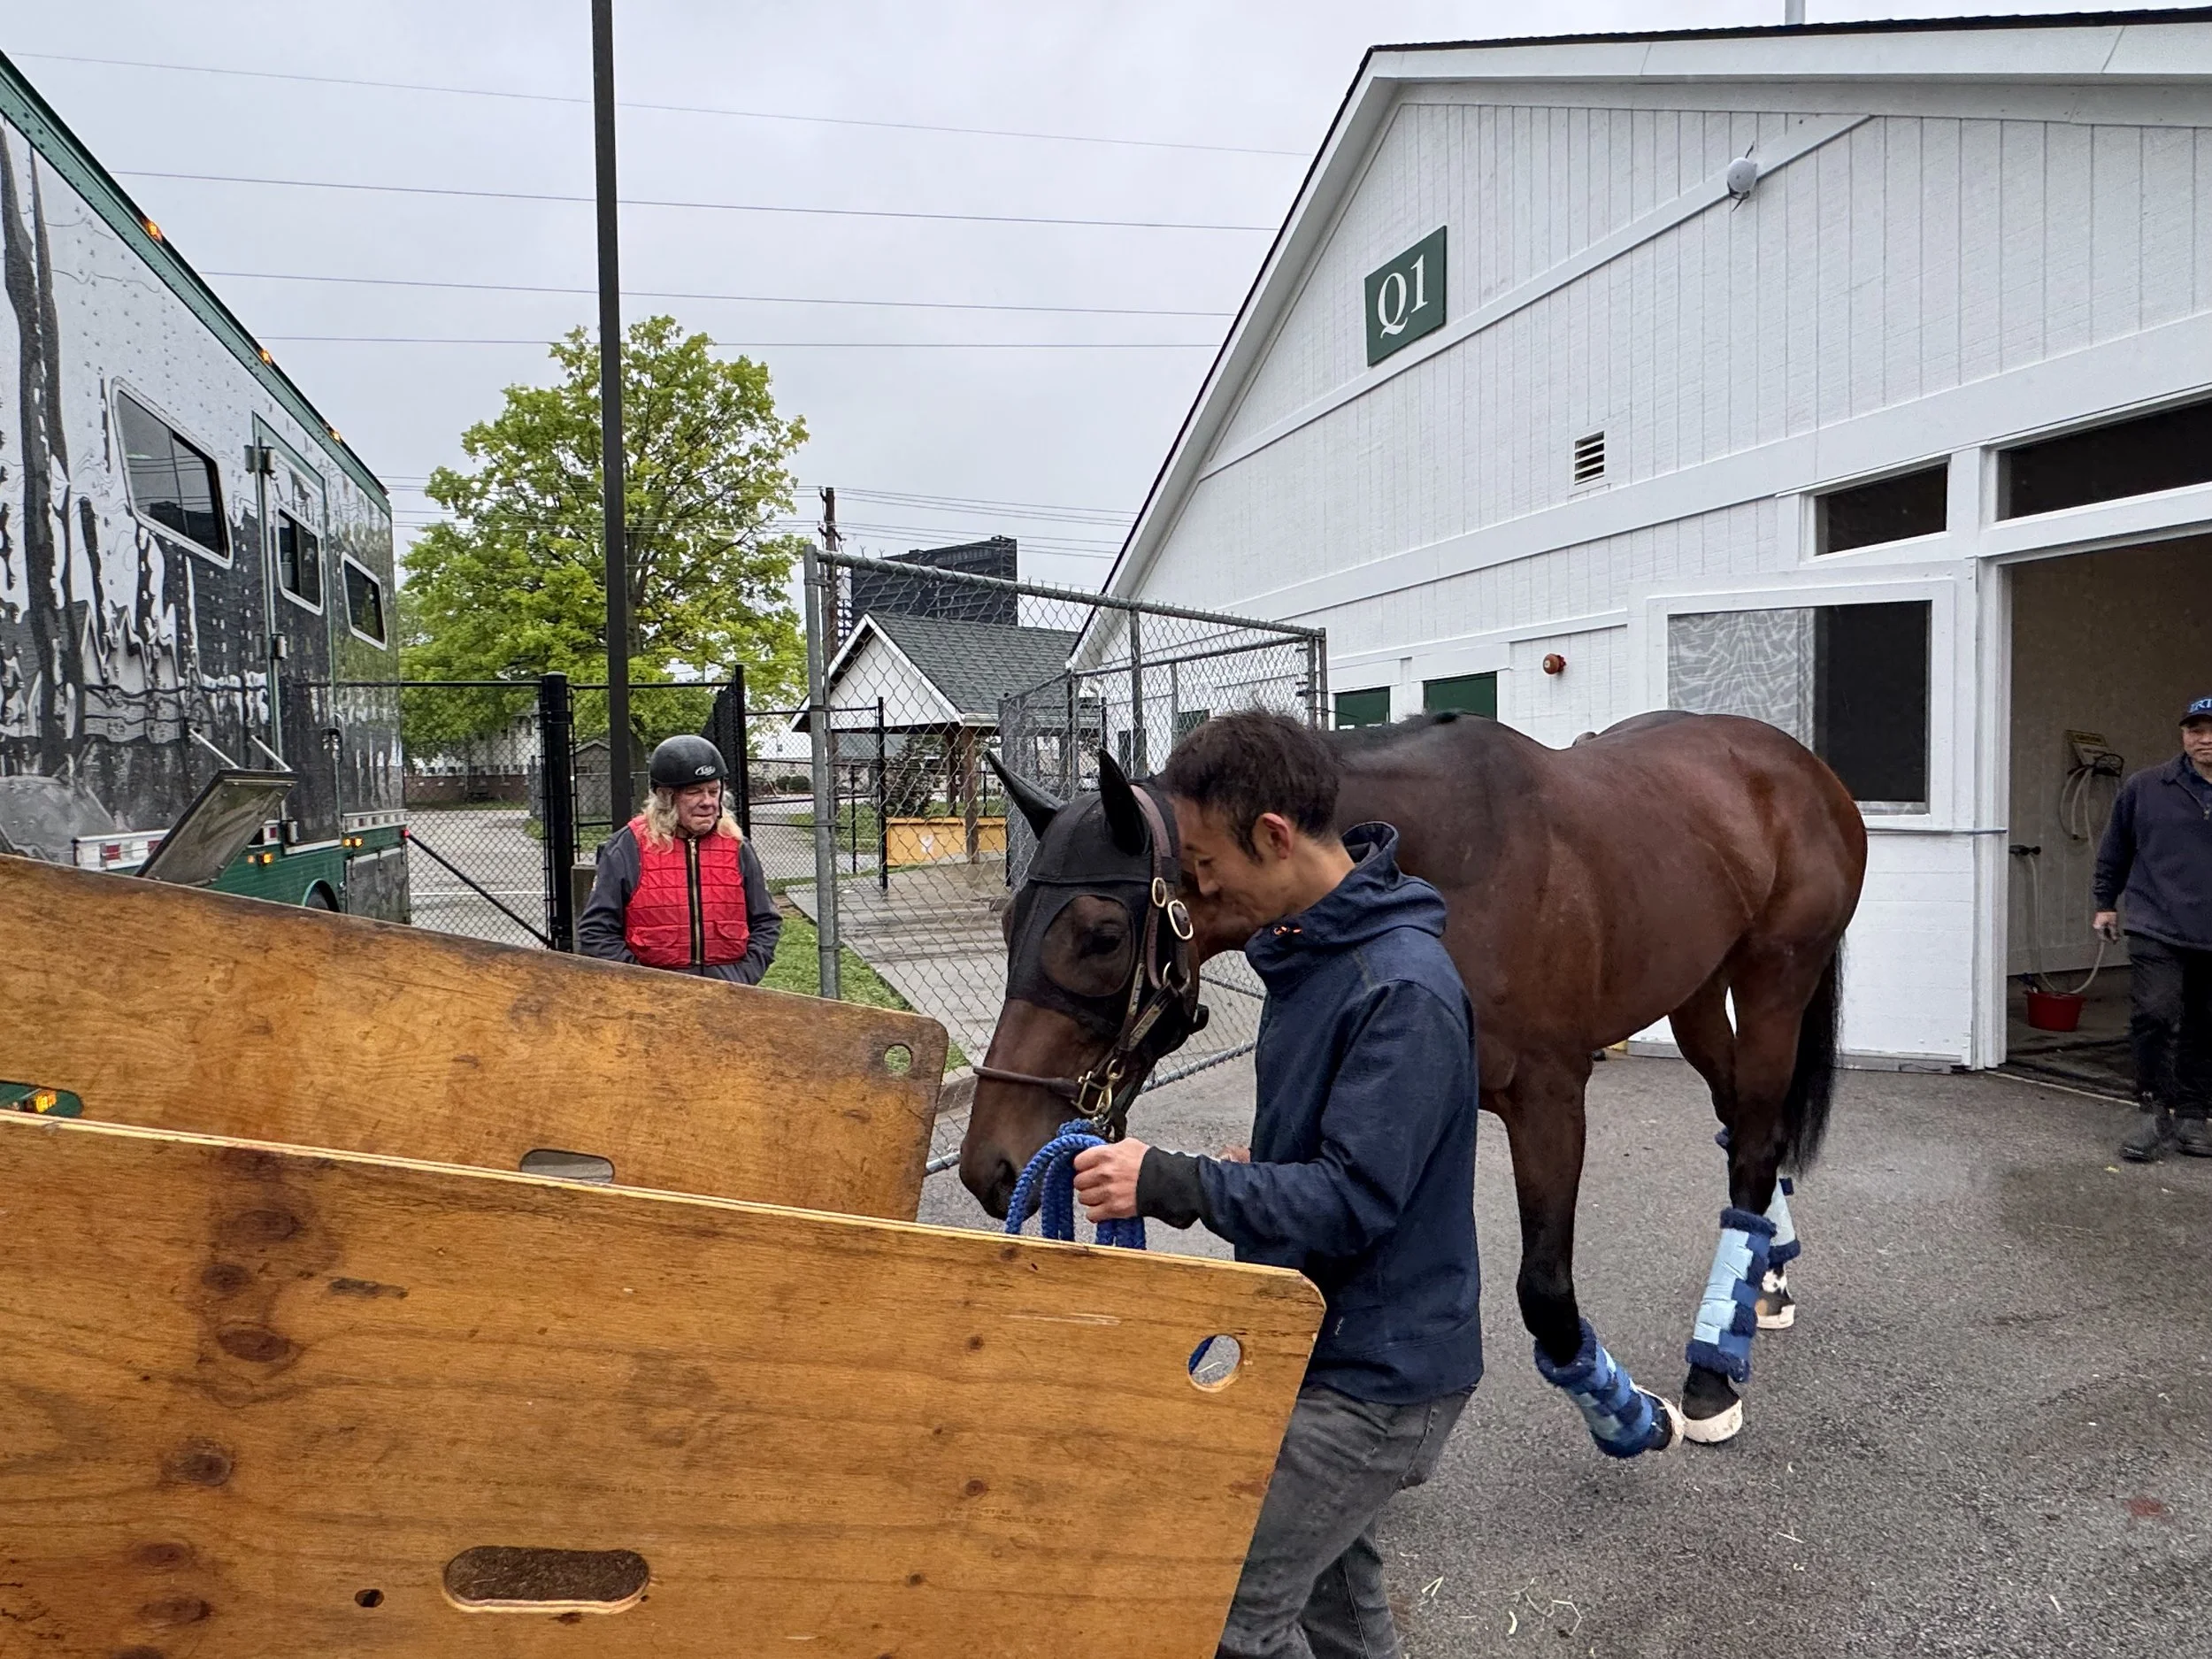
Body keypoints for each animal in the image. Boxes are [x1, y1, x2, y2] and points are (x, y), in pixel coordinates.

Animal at [960, 709, 1867, 1451]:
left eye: (1103, 934)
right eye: (1008, 922)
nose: (989, 1164)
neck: (1457, 869)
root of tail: (1797, 765)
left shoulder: (1548, 1097)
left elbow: (1544, 1290)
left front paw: (1626, 1413)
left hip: (1774, 980)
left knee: (1755, 1134)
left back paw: (1713, 1370)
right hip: (1695, 989)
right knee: (1743, 1124)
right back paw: (1764, 1274)